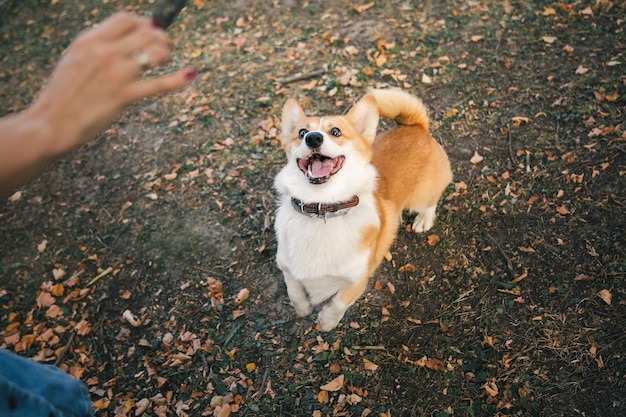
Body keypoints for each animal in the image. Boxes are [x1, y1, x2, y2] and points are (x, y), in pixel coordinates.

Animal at [272, 88, 448, 332]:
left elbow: (339, 302)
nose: (313, 137)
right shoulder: (287, 268)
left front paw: (326, 322)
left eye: (335, 131)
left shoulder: (359, 277)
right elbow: (294, 291)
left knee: (431, 202)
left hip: (421, 197)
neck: (322, 208)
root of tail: (416, 126)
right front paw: (303, 310)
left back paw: (424, 220)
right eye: (302, 132)